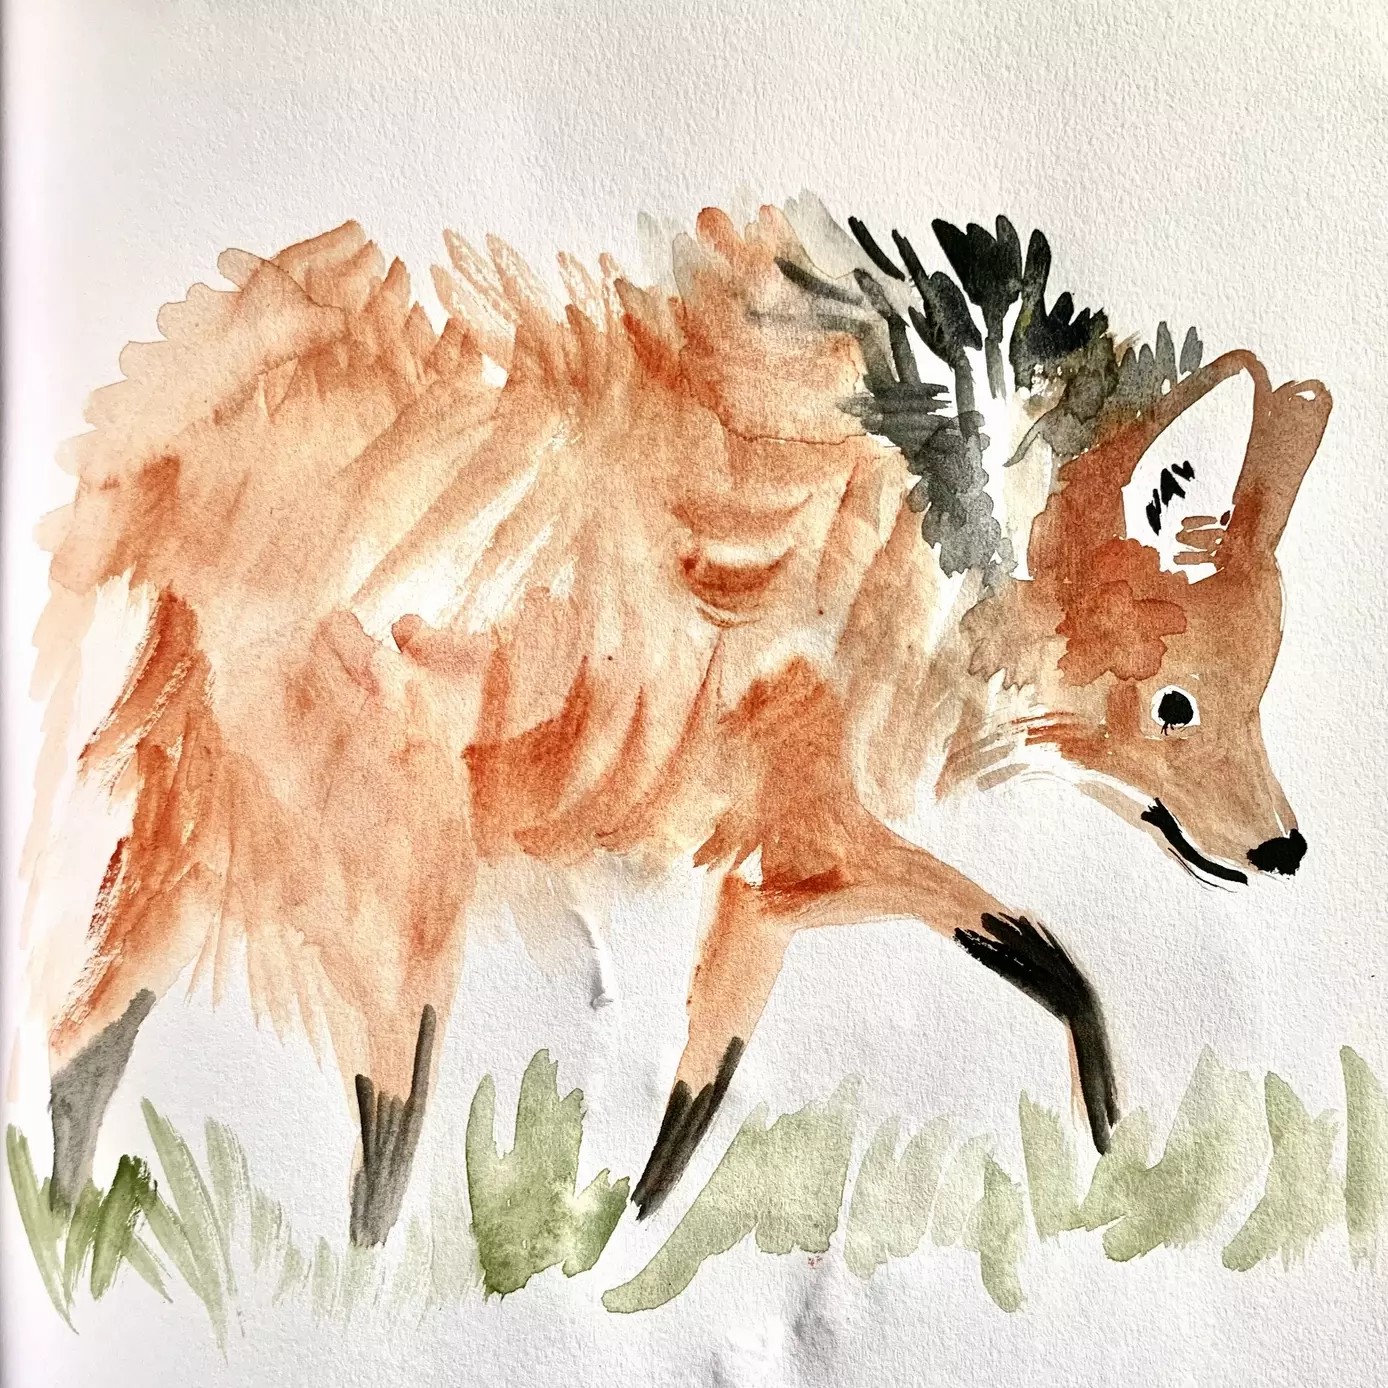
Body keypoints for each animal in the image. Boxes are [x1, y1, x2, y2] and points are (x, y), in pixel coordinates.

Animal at [28, 196, 1330, 1245]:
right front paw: (1109, 1149)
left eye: (1256, 694)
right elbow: (1056, 964)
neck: (917, 532)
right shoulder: (808, 838)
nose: (1285, 851)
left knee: (76, 1057)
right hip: (397, 908)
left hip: (206, 855)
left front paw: (624, 1250)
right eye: (1174, 706)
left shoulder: (768, 882)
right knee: (366, 1157)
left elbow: (691, 1111)